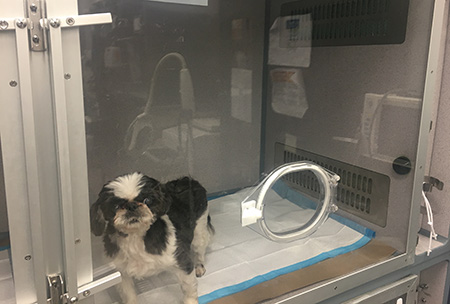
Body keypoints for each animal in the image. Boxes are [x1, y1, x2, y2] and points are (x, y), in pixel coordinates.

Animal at [91, 173, 214, 304]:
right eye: (116, 206)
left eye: (147, 200)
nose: (132, 206)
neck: (135, 237)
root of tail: (187, 180)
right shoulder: (122, 273)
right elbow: (128, 294)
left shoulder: (181, 261)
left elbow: (188, 288)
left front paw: (190, 301)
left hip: (199, 231)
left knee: (199, 250)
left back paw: (199, 267)